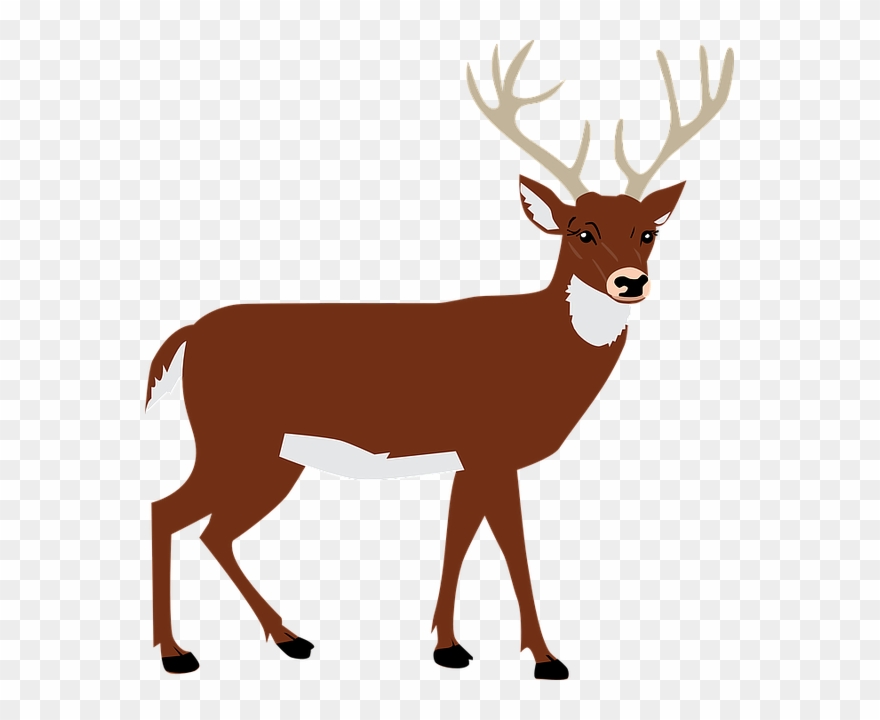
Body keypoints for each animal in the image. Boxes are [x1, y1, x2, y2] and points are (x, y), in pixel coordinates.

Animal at [145, 41, 734, 679]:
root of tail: (189, 335)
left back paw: (289, 638)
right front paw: (545, 658)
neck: (540, 352)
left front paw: (448, 647)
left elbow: (457, 540)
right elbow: (512, 547)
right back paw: (177, 654)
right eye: (581, 232)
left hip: (274, 456)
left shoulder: (467, 458)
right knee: (166, 512)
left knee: (212, 532)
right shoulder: (490, 447)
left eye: (648, 232)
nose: (631, 282)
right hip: (232, 438)